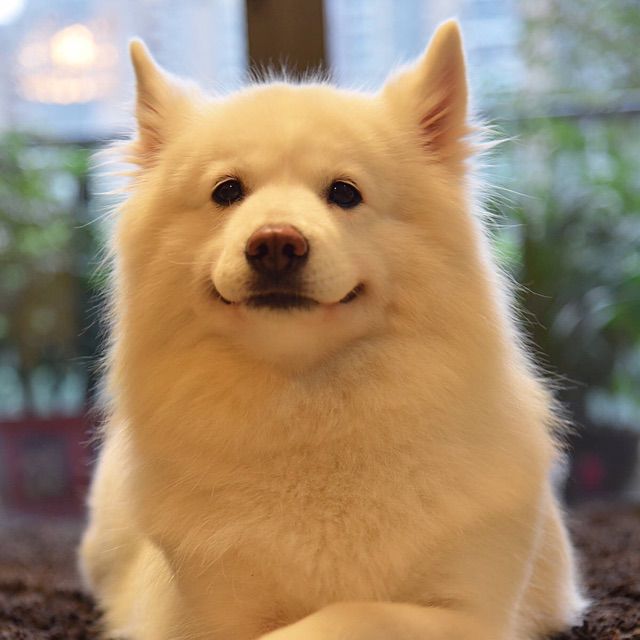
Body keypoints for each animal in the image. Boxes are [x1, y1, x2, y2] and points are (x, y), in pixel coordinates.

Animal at [79, 20, 586, 640]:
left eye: (345, 193)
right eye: (227, 191)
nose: (275, 243)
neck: (310, 409)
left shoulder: (473, 614)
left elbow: (347, 613)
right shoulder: (206, 612)